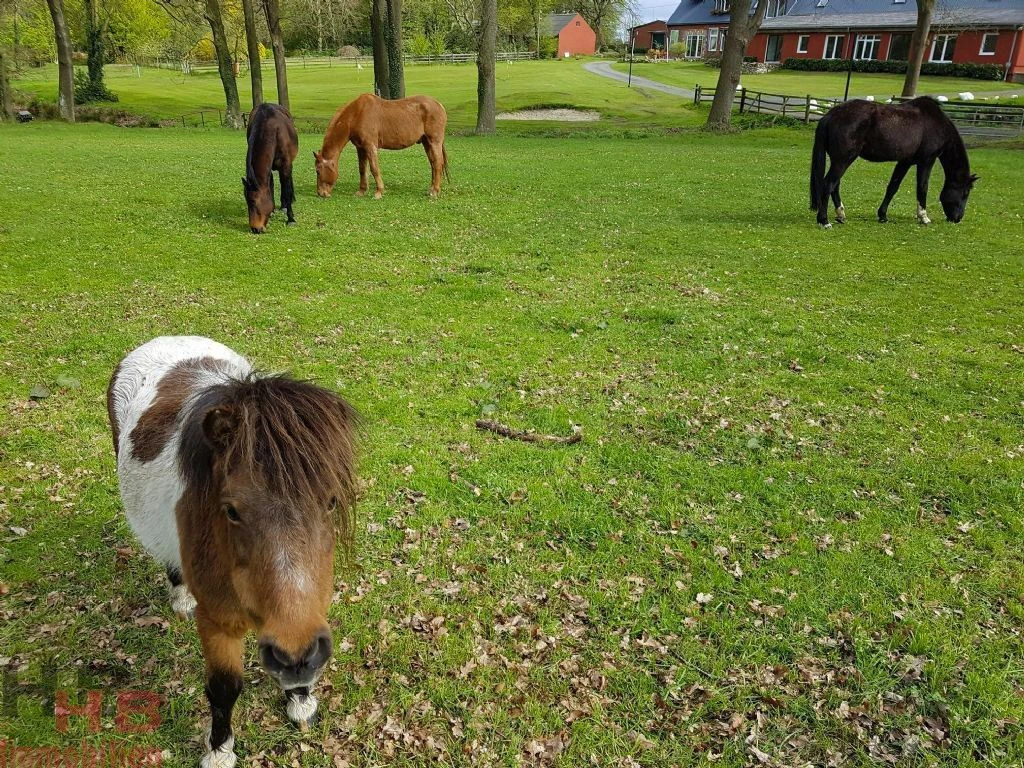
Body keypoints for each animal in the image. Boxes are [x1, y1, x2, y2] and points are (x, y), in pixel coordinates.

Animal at [107, 336, 357, 768]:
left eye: (330, 501)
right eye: (231, 510)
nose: (295, 655)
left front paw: (300, 701)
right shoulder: (218, 622)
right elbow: (224, 689)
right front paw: (219, 749)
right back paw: (180, 598)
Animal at [244, 103, 299, 233]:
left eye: (253, 202)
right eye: (246, 202)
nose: (255, 229)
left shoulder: (286, 165)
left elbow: (286, 188)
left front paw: (291, 218)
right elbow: (271, 185)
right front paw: (272, 209)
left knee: (287, 182)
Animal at [313, 93, 449, 200]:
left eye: (318, 171)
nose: (321, 193)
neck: (357, 114)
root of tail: (439, 105)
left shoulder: (370, 147)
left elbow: (374, 169)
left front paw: (378, 192)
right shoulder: (360, 148)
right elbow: (362, 169)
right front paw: (361, 191)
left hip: (434, 141)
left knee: (437, 164)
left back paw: (435, 192)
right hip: (426, 142)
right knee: (433, 164)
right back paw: (431, 189)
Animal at [810, 97, 978, 228]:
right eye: (965, 193)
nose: (958, 218)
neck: (935, 124)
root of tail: (830, 115)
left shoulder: (905, 162)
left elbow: (892, 187)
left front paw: (883, 215)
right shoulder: (927, 161)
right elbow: (922, 187)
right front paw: (924, 217)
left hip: (840, 160)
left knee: (835, 185)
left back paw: (840, 215)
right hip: (843, 160)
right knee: (828, 184)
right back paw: (824, 220)